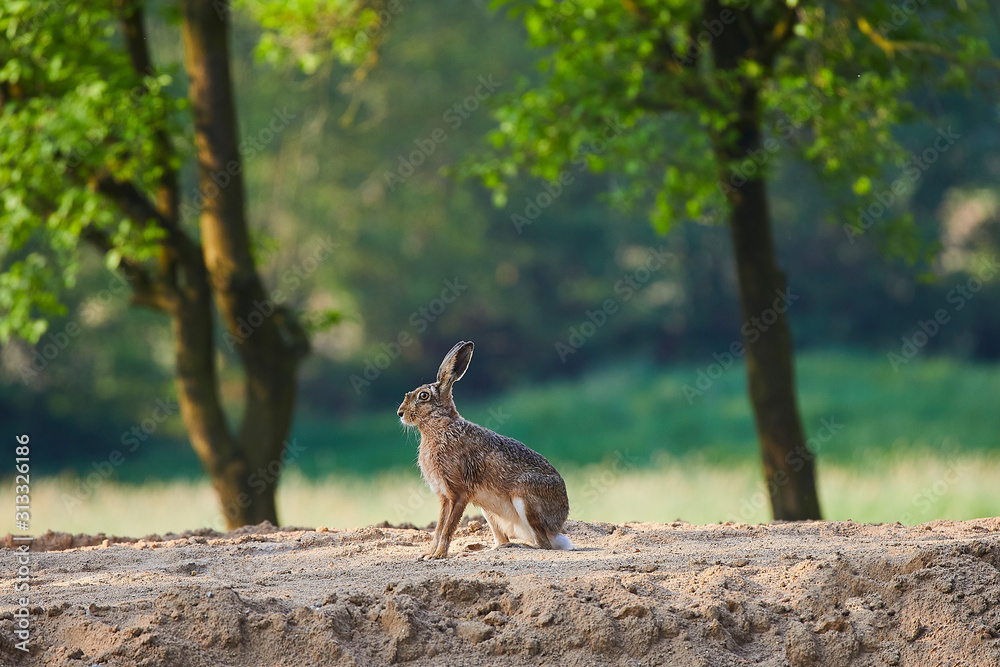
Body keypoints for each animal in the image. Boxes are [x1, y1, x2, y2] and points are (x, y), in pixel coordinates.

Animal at [397, 341, 574, 559]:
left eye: (423, 396)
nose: (400, 413)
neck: (441, 426)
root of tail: (558, 527)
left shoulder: (458, 493)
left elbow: (447, 529)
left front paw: (438, 555)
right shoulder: (445, 497)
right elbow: (438, 528)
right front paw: (428, 554)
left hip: (525, 498)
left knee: (543, 544)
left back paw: (520, 546)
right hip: (488, 511)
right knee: (503, 540)